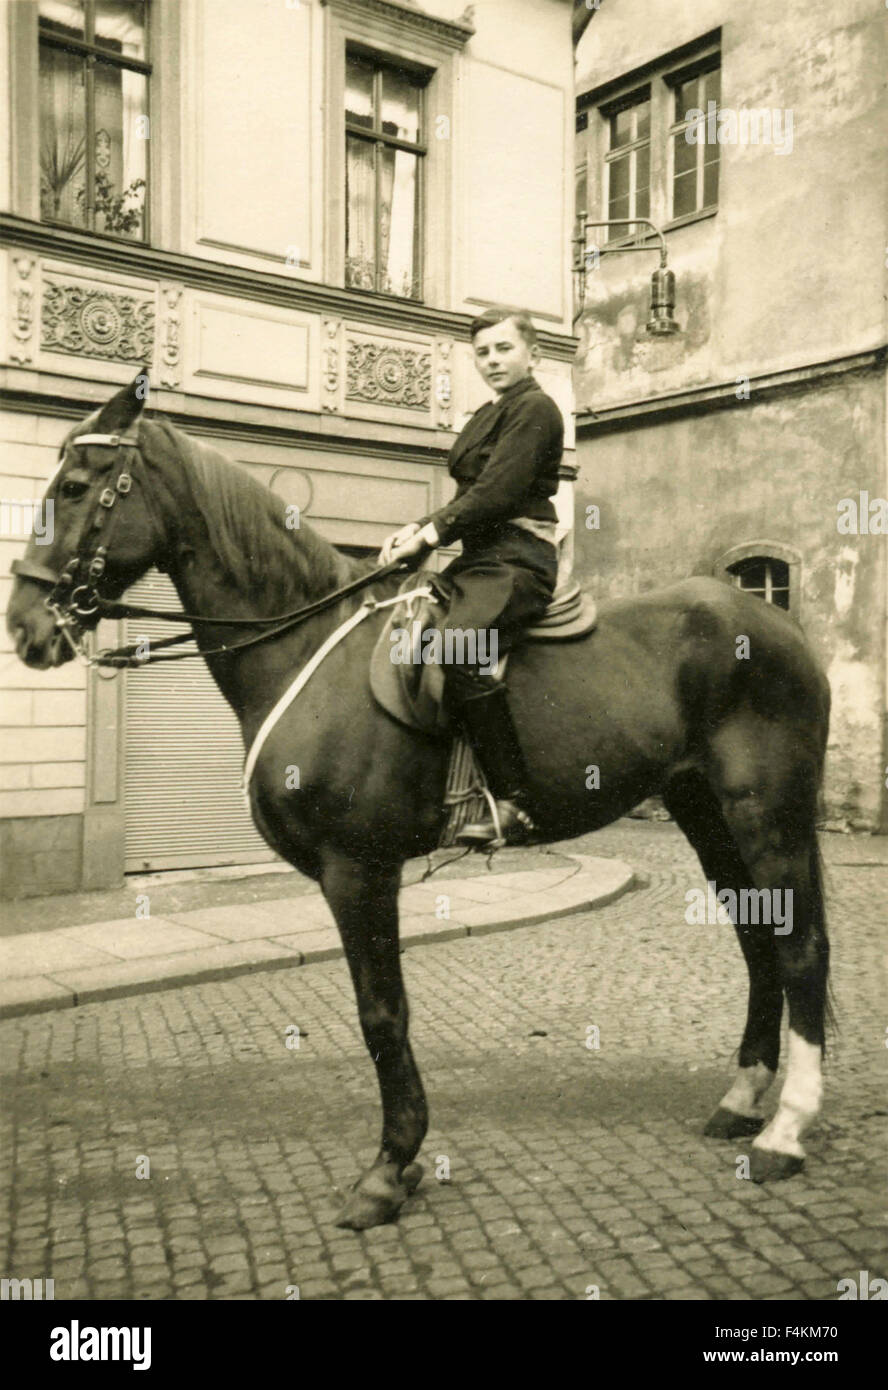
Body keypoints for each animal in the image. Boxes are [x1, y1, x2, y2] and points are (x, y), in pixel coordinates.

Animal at [8, 375, 833, 1234]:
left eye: (75, 488)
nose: (25, 624)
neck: (309, 649)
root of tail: (771, 618)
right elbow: (385, 1011)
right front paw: (400, 1163)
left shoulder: (357, 869)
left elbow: (382, 1014)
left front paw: (388, 1167)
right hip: (705, 814)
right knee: (759, 939)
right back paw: (743, 1097)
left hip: (767, 814)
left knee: (801, 947)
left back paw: (786, 1129)